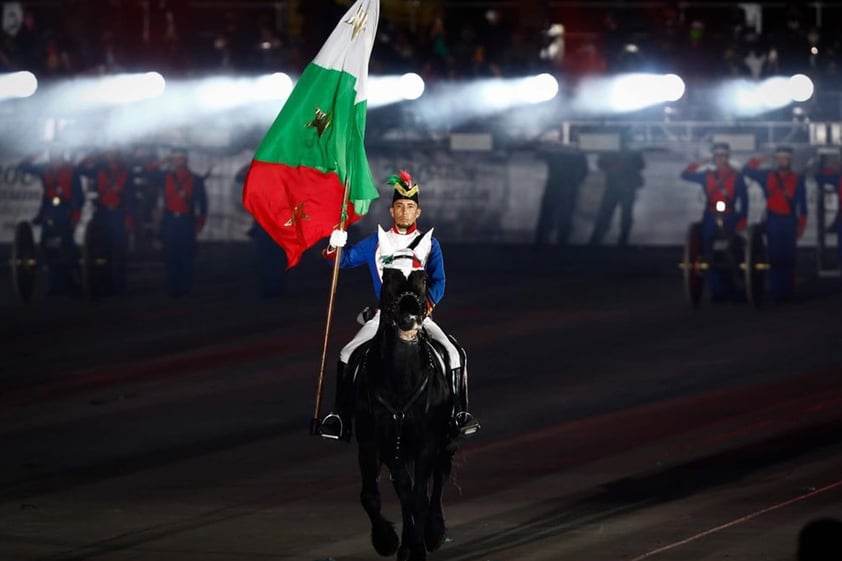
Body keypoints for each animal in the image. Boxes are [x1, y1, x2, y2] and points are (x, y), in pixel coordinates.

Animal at [346, 243, 456, 560]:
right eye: (388, 277)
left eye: (422, 278)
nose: (410, 319)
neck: (402, 378)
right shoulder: (382, 440)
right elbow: (391, 493)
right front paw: (390, 541)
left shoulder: (428, 439)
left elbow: (418, 494)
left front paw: (419, 544)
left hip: (443, 439)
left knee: (440, 473)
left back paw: (434, 531)